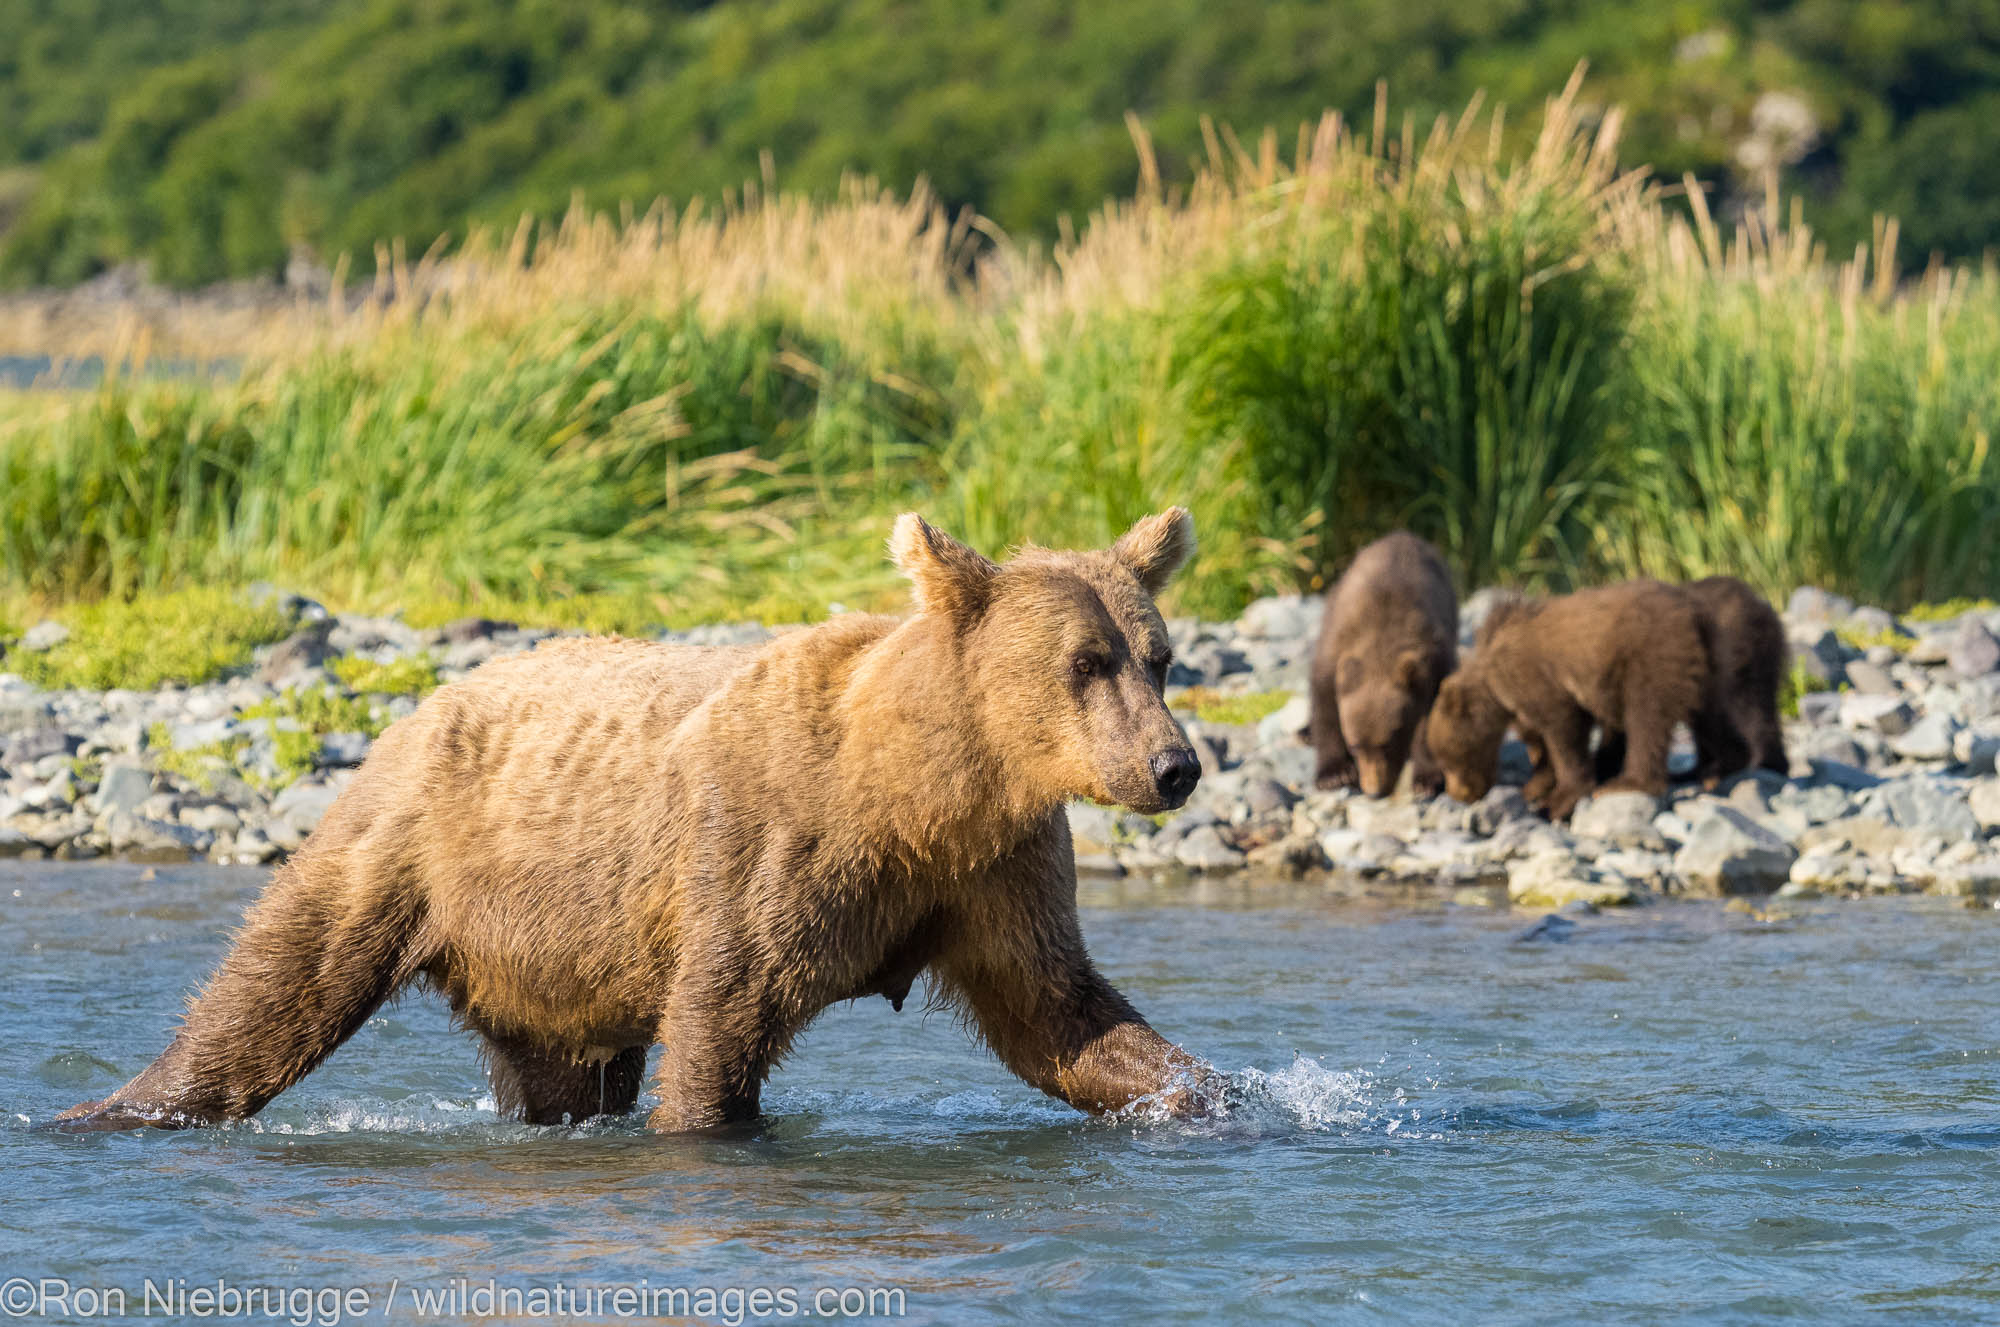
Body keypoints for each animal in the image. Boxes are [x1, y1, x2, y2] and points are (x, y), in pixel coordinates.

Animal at [62, 507, 1208, 1127]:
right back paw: (113, 1107)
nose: (1175, 765)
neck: (923, 794)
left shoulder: (994, 871)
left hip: (546, 964)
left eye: (1158, 656)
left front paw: (1204, 1096)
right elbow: (720, 1020)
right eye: (1084, 662)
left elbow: (1059, 1013)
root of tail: (424, 703)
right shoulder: (771, 851)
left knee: (558, 1075)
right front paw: (710, 1121)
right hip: (406, 849)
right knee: (271, 994)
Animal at [1304, 531, 1464, 799]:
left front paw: (1427, 779)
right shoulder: (1333, 652)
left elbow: (1433, 719)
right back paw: (1305, 733)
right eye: (1355, 745)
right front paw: (1334, 774)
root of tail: (1401, 535)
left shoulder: (1436, 660)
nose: (1374, 792)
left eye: (1387, 744)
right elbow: (1325, 707)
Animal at [1432, 579, 1712, 819]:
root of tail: (1686, 607)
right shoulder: (1522, 700)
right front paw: (1536, 784)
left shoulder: (1539, 679)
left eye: (1447, 761)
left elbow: (1564, 732)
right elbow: (1539, 739)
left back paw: (1628, 781)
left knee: (1646, 720)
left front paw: (1557, 800)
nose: (1459, 795)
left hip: (1649, 657)